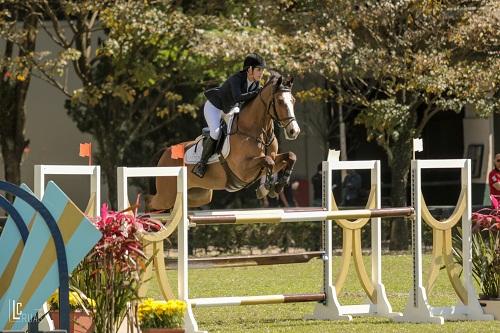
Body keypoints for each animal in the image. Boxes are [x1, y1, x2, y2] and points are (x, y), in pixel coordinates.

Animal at [148, 74, 300, 210]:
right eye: (280, 101)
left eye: (293, 100)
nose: (294, 131)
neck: (256, 132)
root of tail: (165, 152)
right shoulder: (243, 169)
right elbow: (268, 161)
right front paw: (266, 188)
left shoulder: (272, 158)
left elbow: (290, 156)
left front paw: (278, 186)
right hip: (165, 196)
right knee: (151, 203)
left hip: (199, 195)